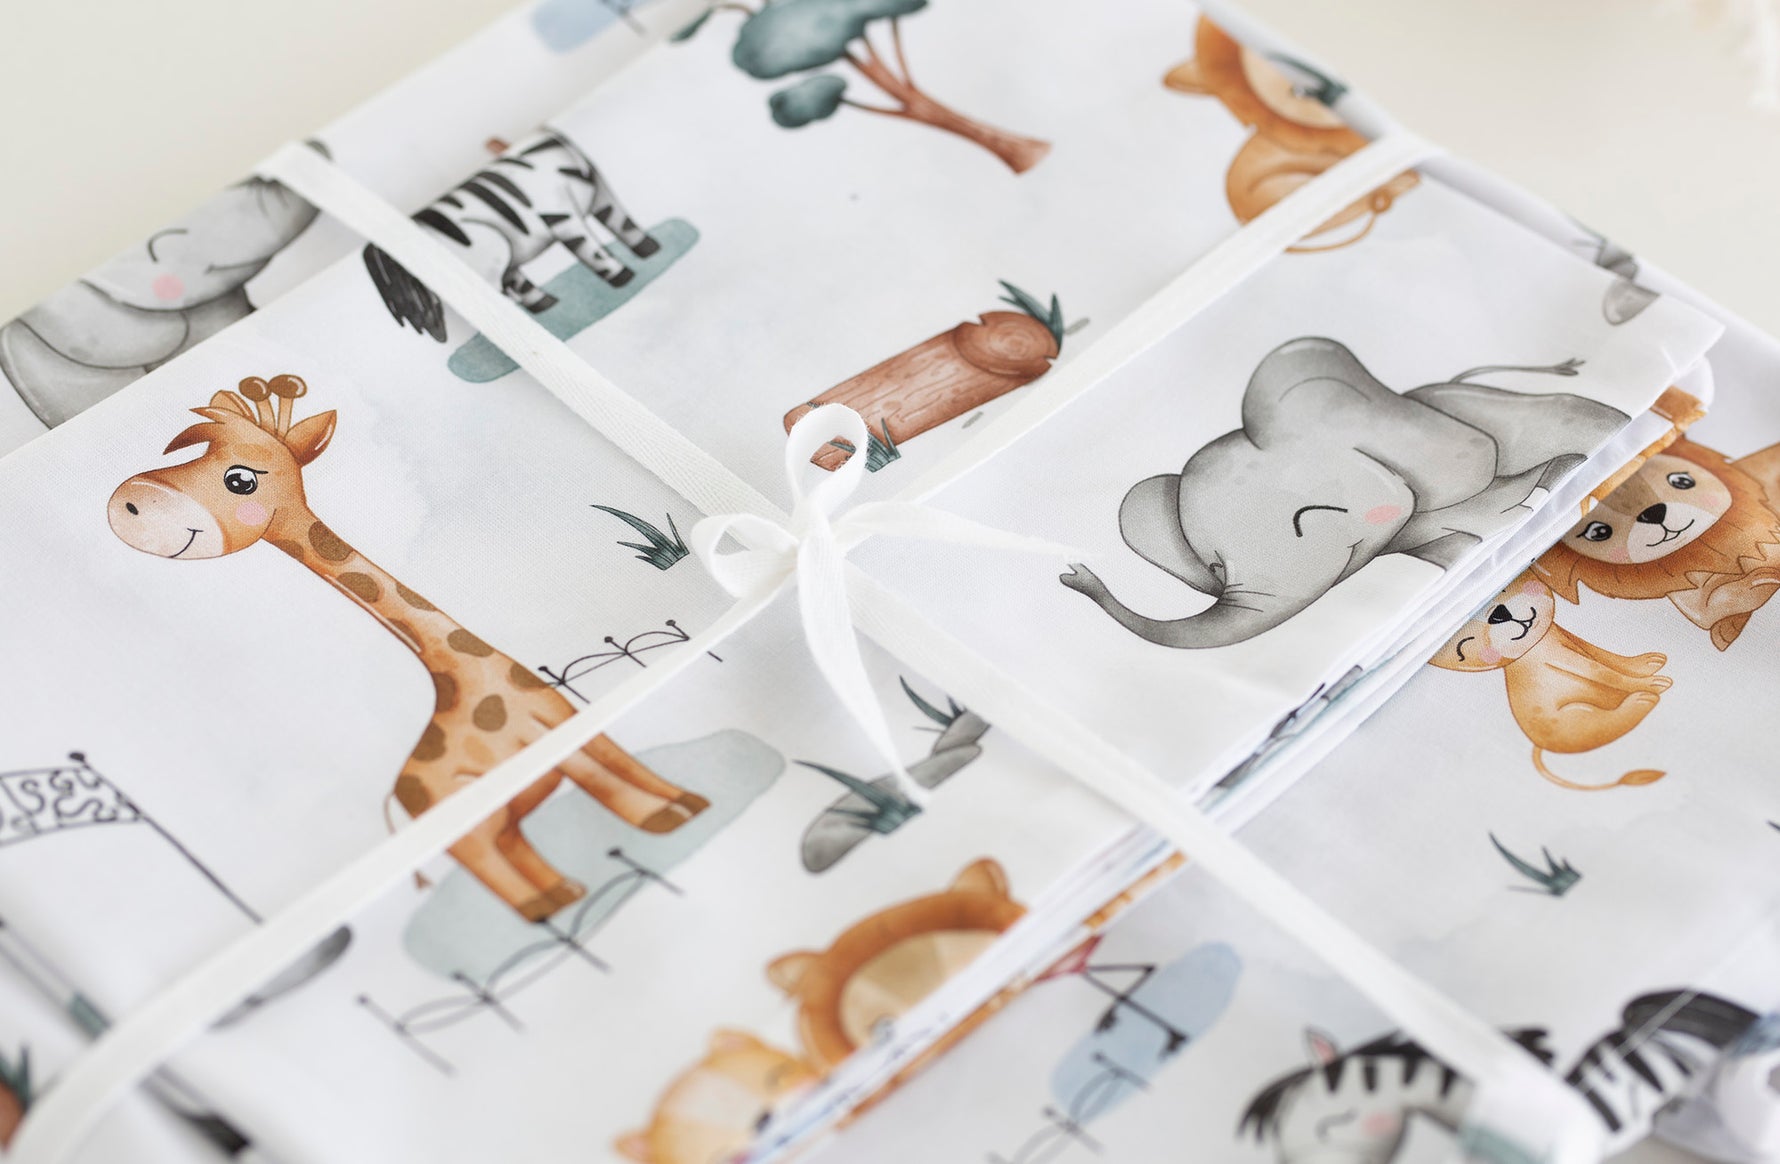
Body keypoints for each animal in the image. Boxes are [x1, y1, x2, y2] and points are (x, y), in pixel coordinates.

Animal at [106, 373, 708, 923]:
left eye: (239, 479)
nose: (129, 502)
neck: (470, 679)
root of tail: (399, 801)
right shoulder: (559, 742)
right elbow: (614, 788)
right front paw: (668, 821)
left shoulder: (574, 727)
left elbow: (622, 772)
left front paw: (686, 808)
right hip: (470, 826)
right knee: (492, 864)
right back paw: (549, 906)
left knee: (510, 848)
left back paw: (565, 894)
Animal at [362, 129, 660, 342]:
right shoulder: (558, 213)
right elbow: (592, 250)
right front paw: (624, 277)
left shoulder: (601, 193)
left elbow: (624, 224)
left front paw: (651, 251)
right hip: (487, 254)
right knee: (497, 298)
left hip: (499, 251)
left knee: (514, 281)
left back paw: (547, 307)